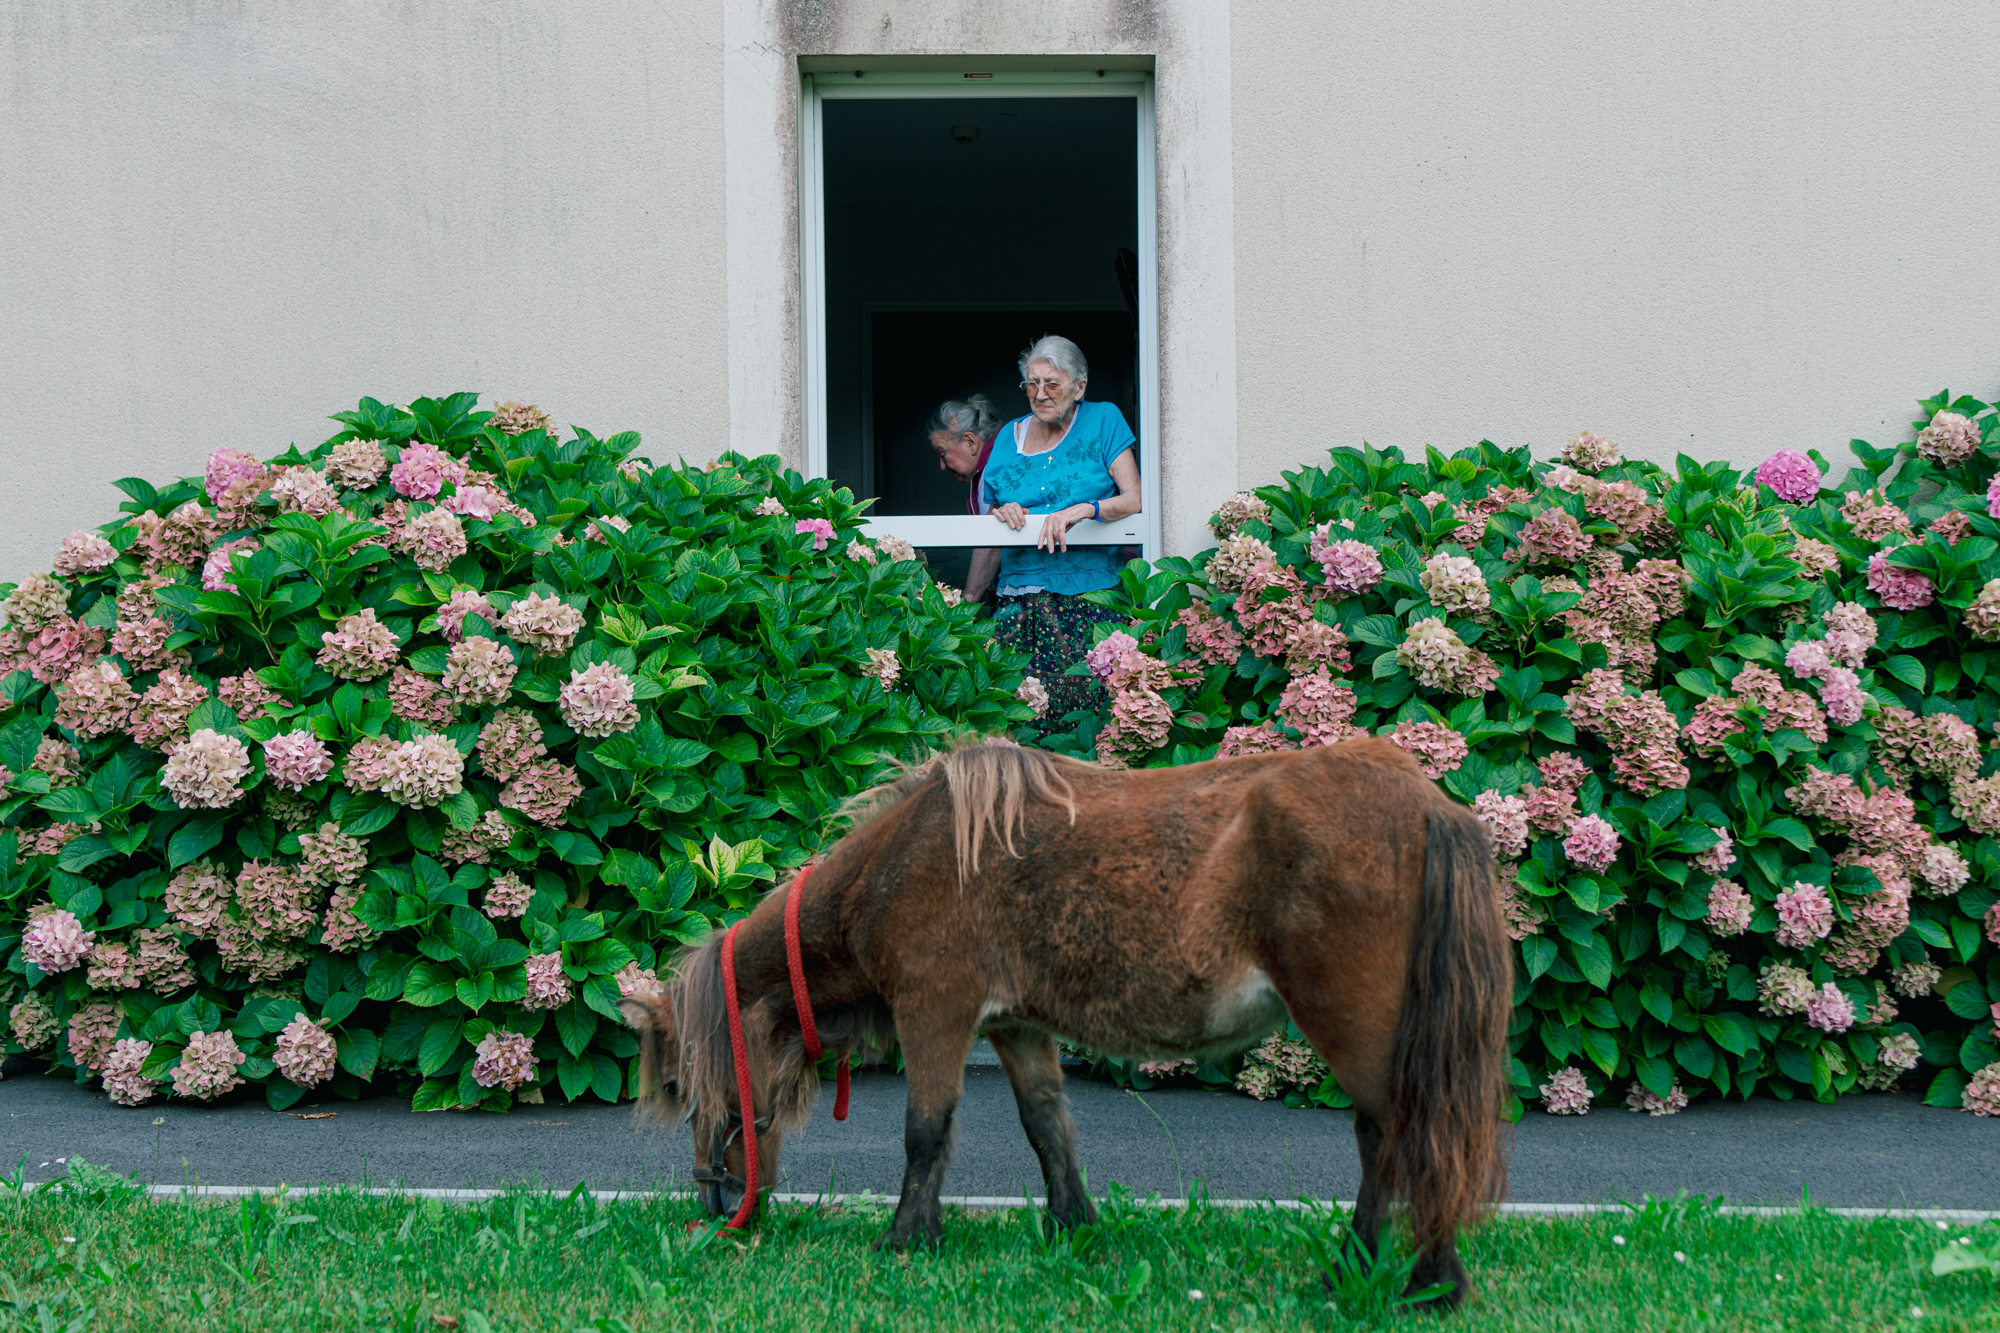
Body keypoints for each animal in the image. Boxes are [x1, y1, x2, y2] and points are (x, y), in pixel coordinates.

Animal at [616, 732, 1504, 1304]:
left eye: (680, 1084)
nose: (716, 1203)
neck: (905, 854)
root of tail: (1425, 803)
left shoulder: (934, 1009)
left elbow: (925, 1130)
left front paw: (907, 1237)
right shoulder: (1015, 1024)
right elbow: (1047, 1125)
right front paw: (1073, 1225)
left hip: (1351, 1020)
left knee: (1405, 1134)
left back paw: (1412, 1280)